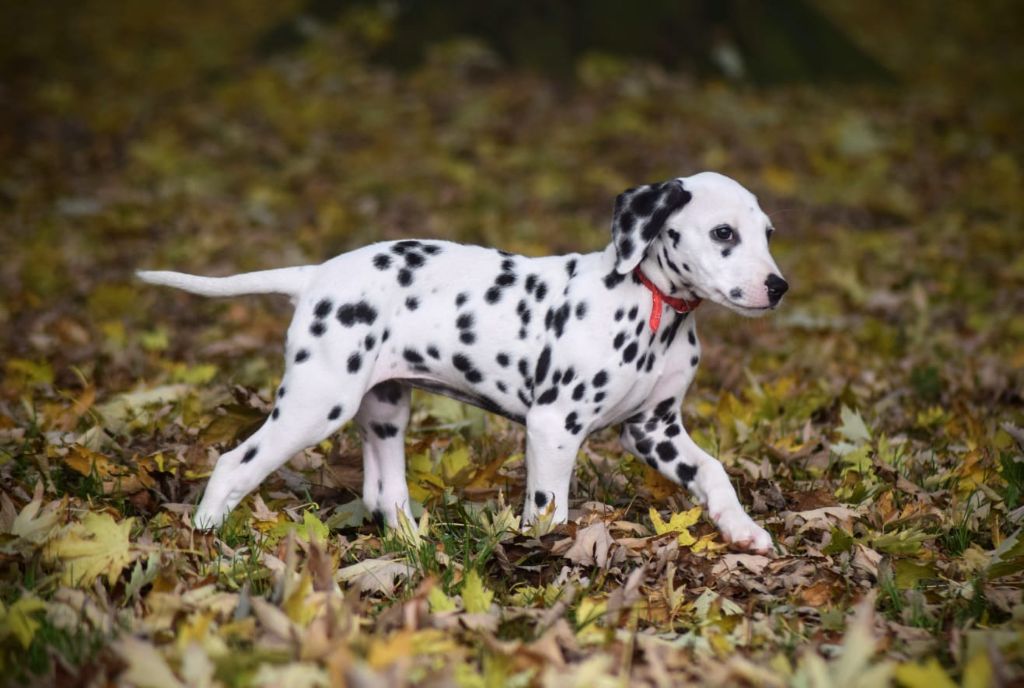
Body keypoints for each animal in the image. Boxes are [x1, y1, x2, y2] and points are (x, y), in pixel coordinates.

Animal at [140, 172, 786, 552]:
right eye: (723, 233)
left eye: (767, 234)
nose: (778, 287)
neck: (652, 305)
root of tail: (317, 275)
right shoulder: (553, 426)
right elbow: (550, 511)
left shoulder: (654, 430)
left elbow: (714, 472)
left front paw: (744, 530)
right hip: (315, 405)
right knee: (235, 464)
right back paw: (204, 540)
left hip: (384, 409)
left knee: (383, 494)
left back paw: (412, 545)